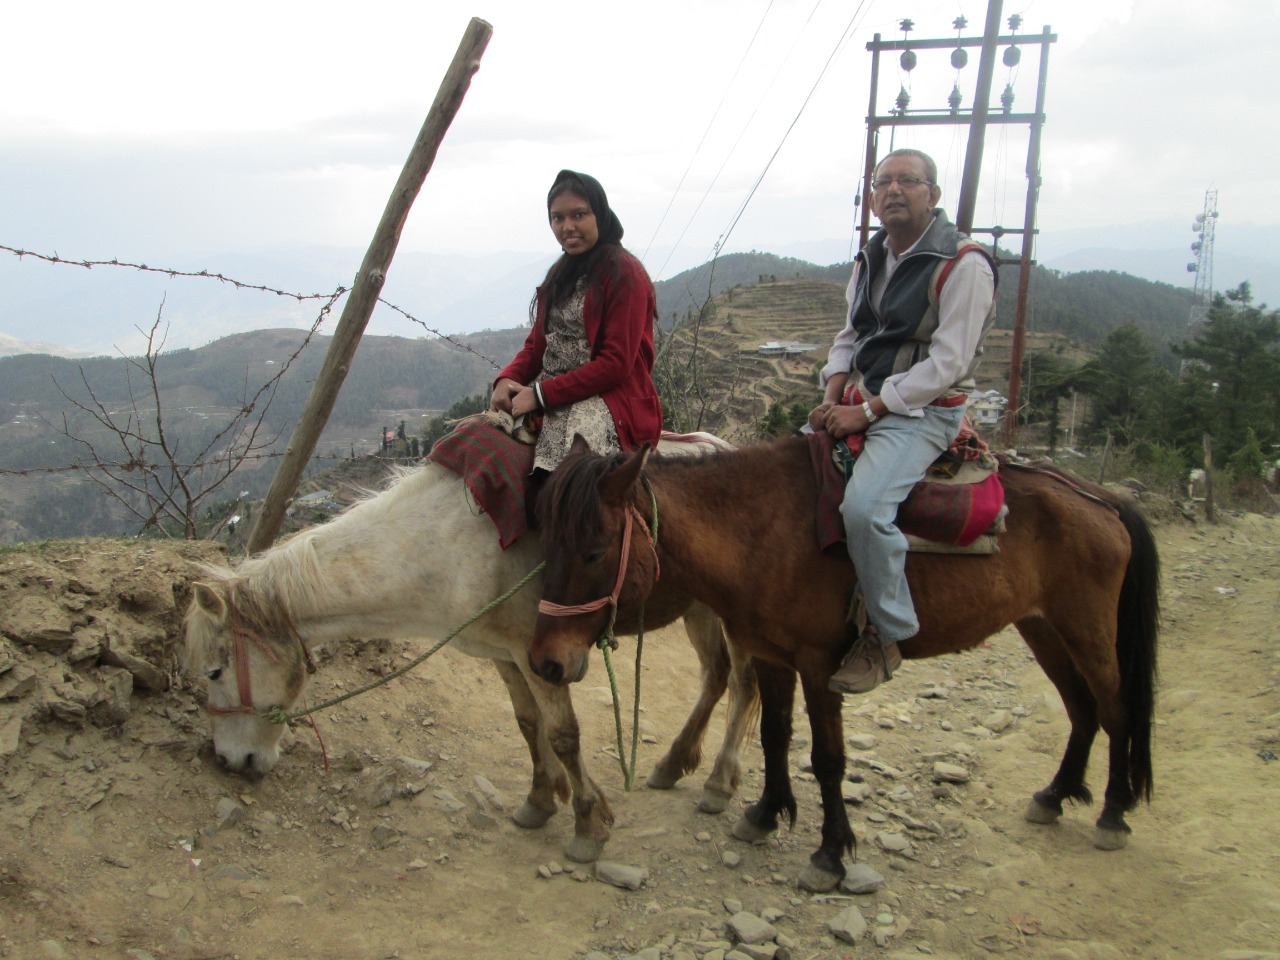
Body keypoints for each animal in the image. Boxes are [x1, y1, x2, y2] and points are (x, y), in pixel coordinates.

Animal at [183, 439, 759, 865]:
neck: (447, 547)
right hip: (698, 609)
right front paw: (540, 800)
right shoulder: (505, 655)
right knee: (715, 677)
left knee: (743, 683)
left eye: (213, 672)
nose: (230, 761)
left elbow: (564, 735)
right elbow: (528, 725)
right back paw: (674, 763)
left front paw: (589, 824)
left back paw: (719, 783)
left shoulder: (543, 658)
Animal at [527, 434, 1161, 892]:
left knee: (1115, 708)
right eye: (546, 545)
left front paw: (830, 854)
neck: (764, 532)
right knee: (1081, 710)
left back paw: (1113, 812)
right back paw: (1055, 795)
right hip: (1043, 628)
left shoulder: (818, 664)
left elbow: (828, 759)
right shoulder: (772, 654)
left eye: (593, 552)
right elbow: (775, 737)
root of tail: (1101, 498)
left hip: (1087, 630)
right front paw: (764, 814)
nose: (545, 663)